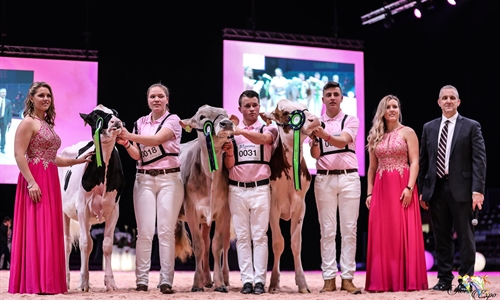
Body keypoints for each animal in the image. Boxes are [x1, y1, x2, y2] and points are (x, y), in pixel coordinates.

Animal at [58, 104, 125, 292]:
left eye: (115, 113)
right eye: (95, 116)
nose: (116, 121)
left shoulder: (114, 210)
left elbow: (107, 245)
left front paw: (110, 282)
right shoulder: (82, 208)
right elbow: (84, 244)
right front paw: (83, 282)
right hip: (64, 212)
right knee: (67, 244)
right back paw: (66, 281)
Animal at [179, 104, 239, 292]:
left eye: (225, 114)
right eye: (202, 117)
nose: (226, 123)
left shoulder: (223, 211)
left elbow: (217, 245)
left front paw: (219, 283)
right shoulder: (191, 210)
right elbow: (198, 246)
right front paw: (196, 283)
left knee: (219, 242)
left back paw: (219, 278)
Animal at [260, 98, 322, 292]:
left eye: (305, 108)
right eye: (287, 113)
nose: (315, 119)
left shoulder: (301, 206)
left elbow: (295, 243)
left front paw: (302, 283)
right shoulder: (272, 208)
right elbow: (278, 243)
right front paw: (274, 282)